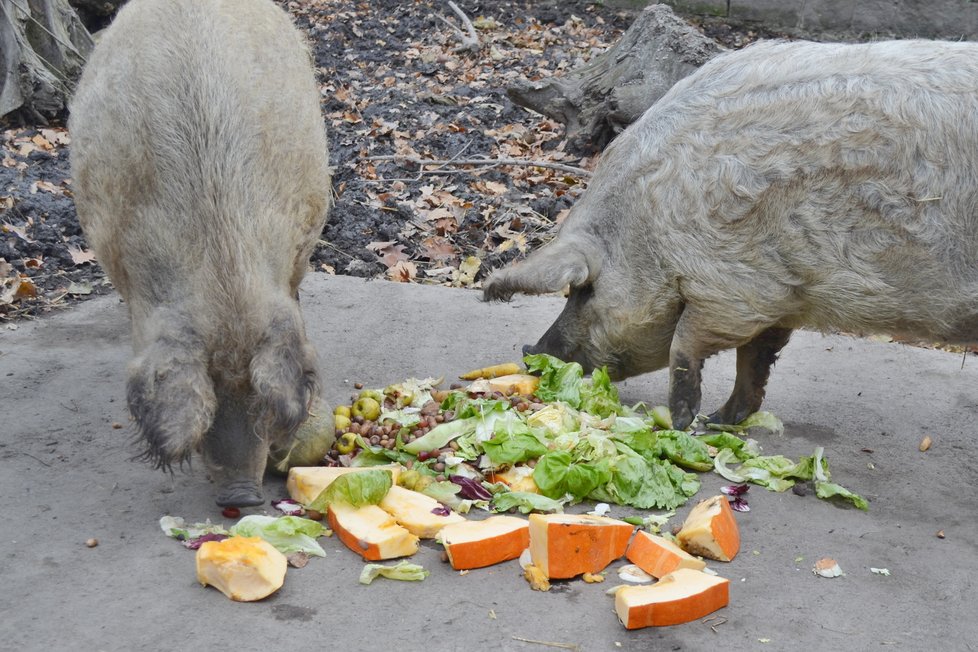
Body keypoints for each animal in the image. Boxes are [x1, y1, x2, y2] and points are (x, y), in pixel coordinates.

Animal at [484, 38, 976, 430]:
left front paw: (686, 422)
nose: (530, 351)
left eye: (583, 291)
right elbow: (755, 358)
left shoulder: (735, 284)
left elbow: (687, 344)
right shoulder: (779, 292)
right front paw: (723, 421)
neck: (649, 226)